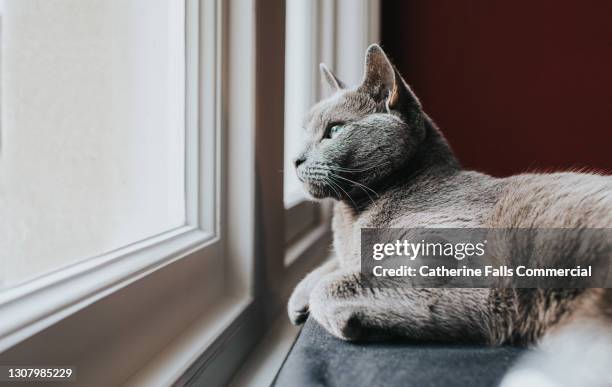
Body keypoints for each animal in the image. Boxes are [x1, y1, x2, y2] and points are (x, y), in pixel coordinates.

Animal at [290, 44, 612, 387]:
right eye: (305, 133)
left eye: (334, 130)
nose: (295, 159)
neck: (356, 212)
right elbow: (337, 263)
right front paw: (300, 296)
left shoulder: (443, 256)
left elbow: (336, 284)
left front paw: (342, 318)